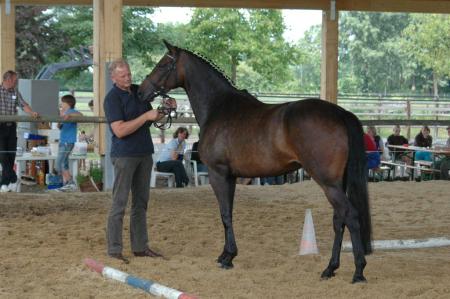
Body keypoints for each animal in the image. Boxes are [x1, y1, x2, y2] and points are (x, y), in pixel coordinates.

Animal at [138, 40, 372, 284]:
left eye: (162, 65)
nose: (141, 91)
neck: (219, 107)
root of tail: (340, 113)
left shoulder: (217, 173)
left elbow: (225, 214)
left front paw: (228, 258)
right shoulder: (230, 176)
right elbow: (229, 212)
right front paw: (226, 254)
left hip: (327, 182)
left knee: (351, 216)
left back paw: (357, 271)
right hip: (337, 183)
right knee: (339, 220)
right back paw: (330, 268)